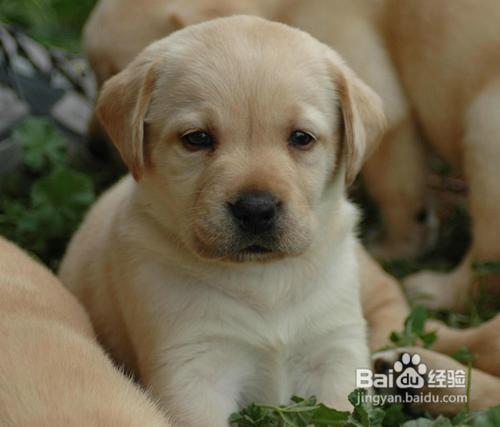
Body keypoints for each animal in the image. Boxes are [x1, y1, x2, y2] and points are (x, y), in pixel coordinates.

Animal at [59, 15, 386, 426]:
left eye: (301, 138)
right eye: (197, 138)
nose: (256, 209)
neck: (264, 278)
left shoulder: (334, 353)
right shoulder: (193, 369)